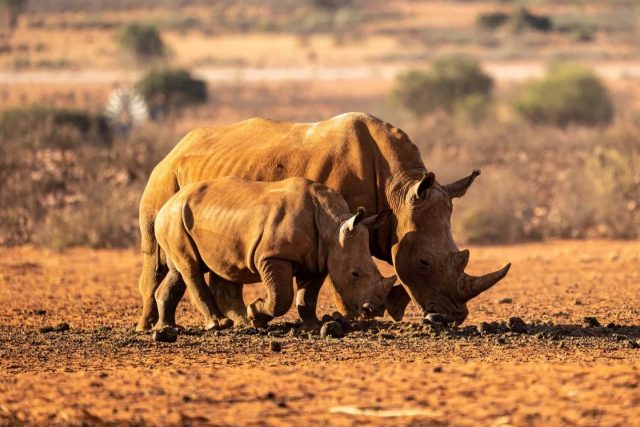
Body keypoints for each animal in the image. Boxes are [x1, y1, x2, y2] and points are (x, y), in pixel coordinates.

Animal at [153, 177, 396, 330]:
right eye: (355, 274)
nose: (376, 309)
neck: (333, 226)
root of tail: (164, 205)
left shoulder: (318, 259)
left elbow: (307, 297)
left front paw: (314, 326)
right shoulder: (272, 256)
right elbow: (282, 297)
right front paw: (255, 314)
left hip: (181, 219)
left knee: (180, 270)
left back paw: (167, 327)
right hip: (174, 217)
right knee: (191, 268)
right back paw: (218, 325)